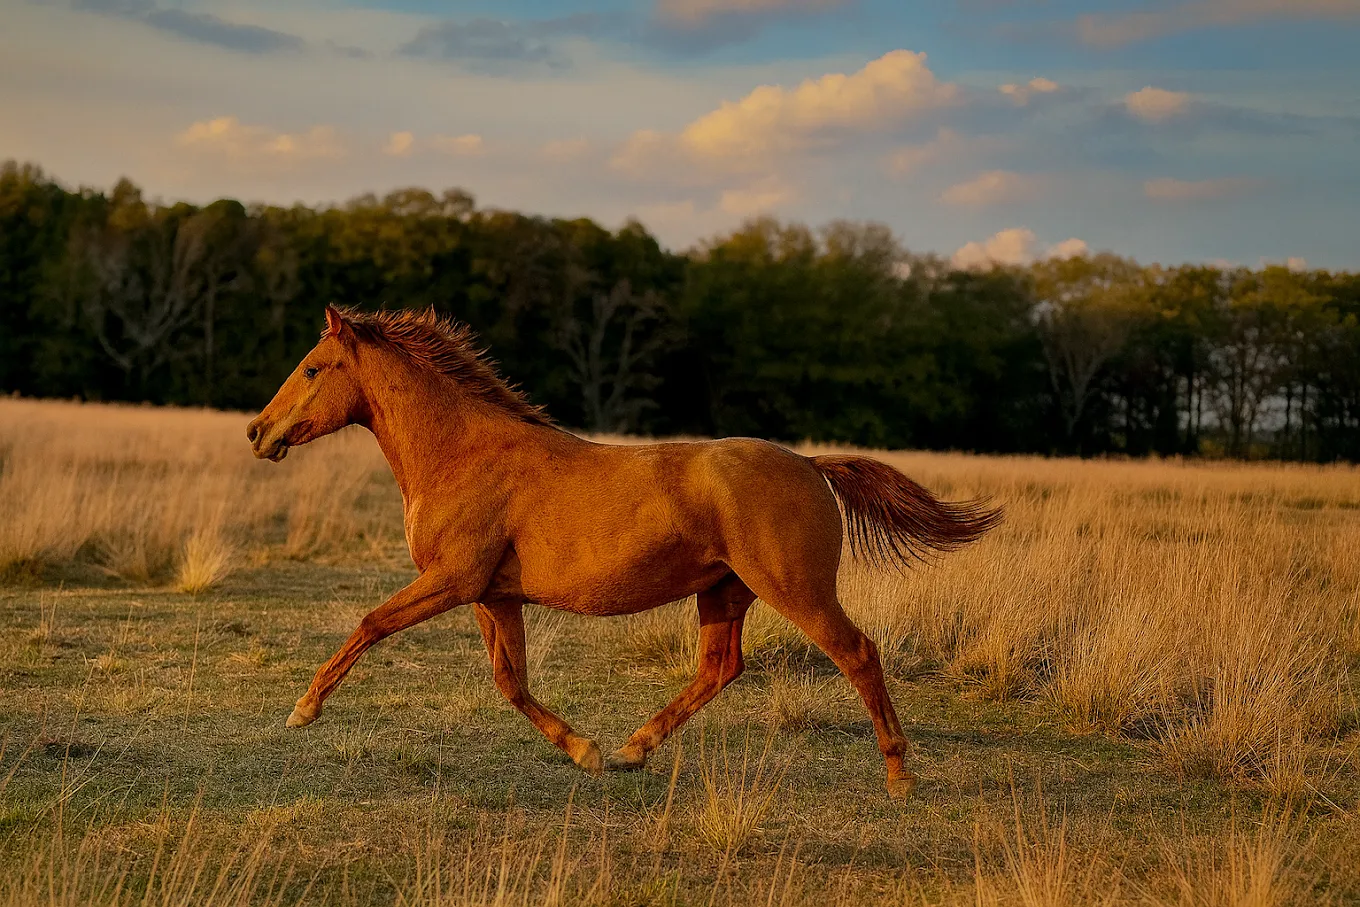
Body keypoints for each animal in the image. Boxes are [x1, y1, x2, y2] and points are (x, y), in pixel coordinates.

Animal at [246, 305, 1001, 798]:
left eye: (312, 368)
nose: (258, 431)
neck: (464, 455)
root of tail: (812, 465)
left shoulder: (452, 579)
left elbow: (371, 623)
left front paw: (302, 709)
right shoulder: (491, 593)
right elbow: (510, 680)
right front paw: (584, 751)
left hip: (798, 590)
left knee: (858, 654)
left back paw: (899, 775)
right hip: (723, 591)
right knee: (721, 668)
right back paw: (634, 748)